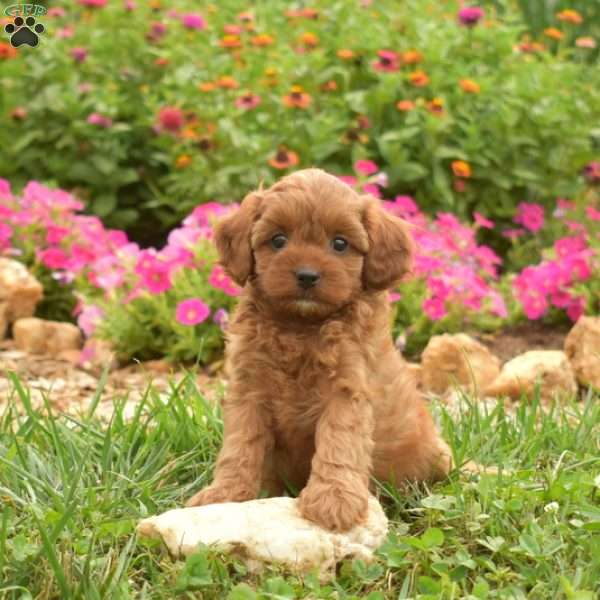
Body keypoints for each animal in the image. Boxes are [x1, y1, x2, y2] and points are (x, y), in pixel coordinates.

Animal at [186, 168, 450, 528]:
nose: (307, 276)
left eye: (340, 243)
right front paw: (224, 494)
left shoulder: (347, 391)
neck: (301, 325)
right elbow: (240, 445)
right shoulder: (249, 391)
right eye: (278, 240)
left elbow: (338, 442)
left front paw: (332, 500)